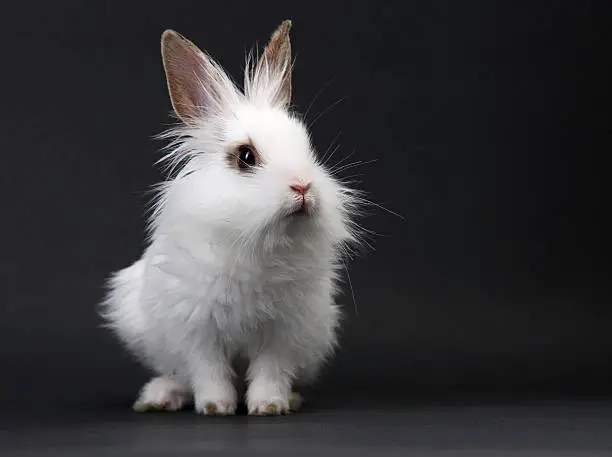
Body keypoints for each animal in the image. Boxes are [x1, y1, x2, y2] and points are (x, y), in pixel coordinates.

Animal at [101, 19, 364, 416]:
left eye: (308, 148)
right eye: (245, 156)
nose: (303, 186)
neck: (255, 240)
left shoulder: (284, 330)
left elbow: (271, 370)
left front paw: (269, 405)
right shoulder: (197, 327)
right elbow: (208, 369)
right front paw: (215, 406)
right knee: (177, 373)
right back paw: (160, 397)